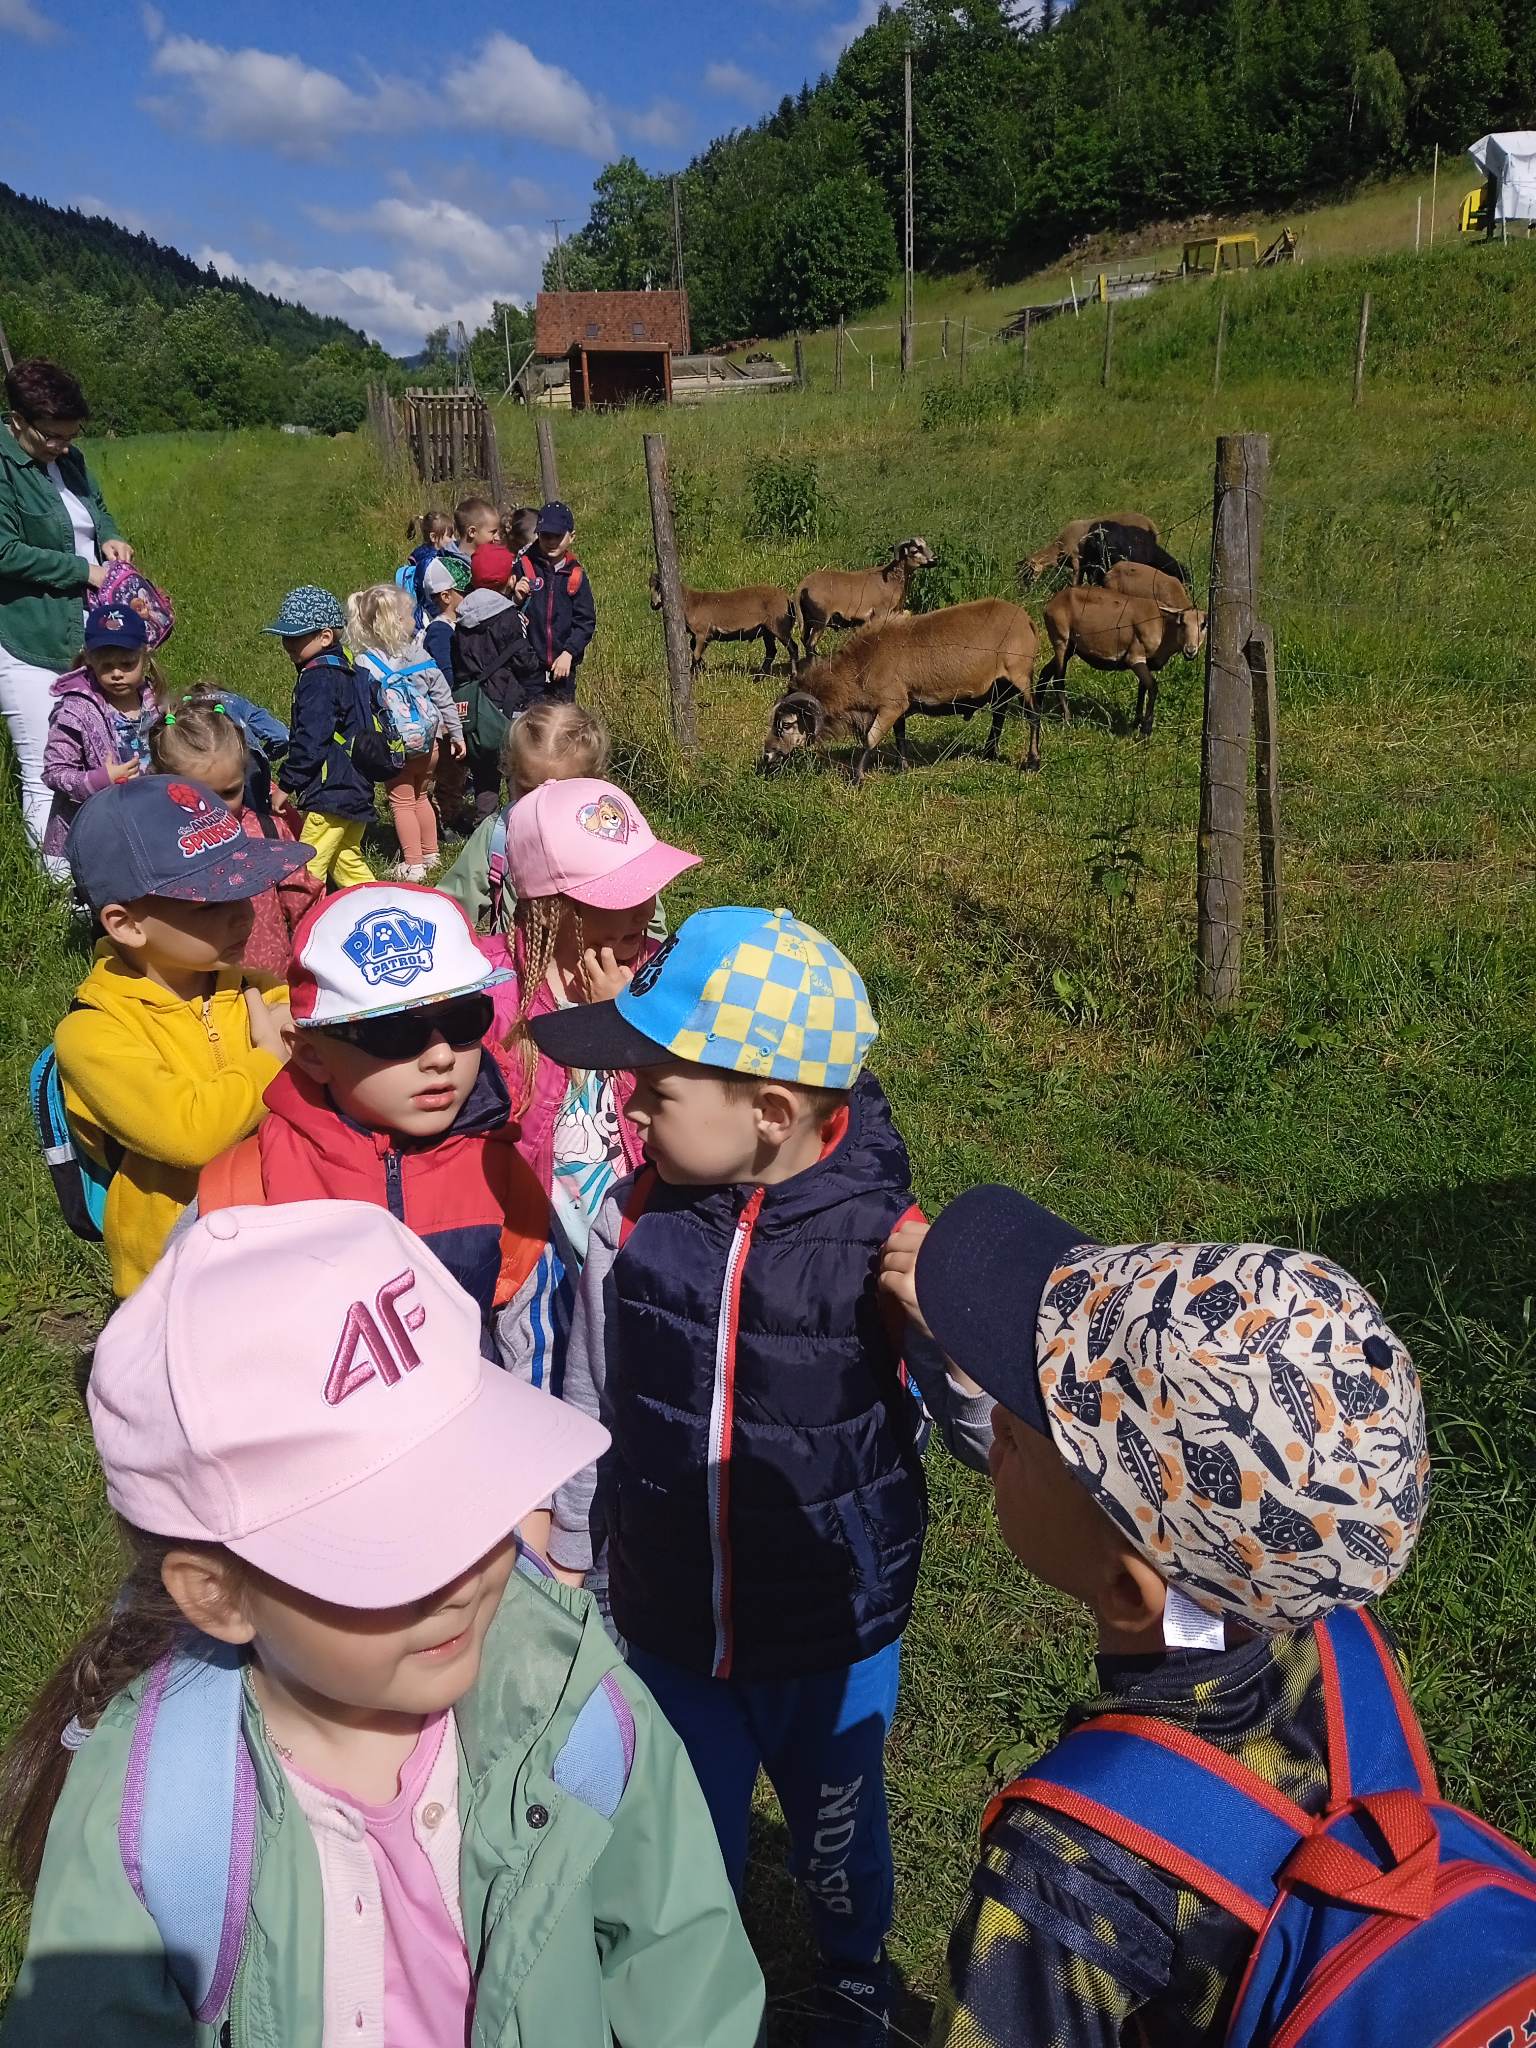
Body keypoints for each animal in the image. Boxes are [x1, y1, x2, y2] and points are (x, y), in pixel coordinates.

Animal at [651, 573, 798, 684]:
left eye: (659, 587)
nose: (652, 605)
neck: (691, 602)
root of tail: (788, 600)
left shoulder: (702, 632)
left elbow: (695, 655)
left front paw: (693, 676)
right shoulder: (701, 635)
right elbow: (694, 650)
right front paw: (703, 669)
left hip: (779, 626)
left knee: (793, 647)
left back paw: (793, 675)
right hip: (767, 631)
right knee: (771, 651)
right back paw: (757, 679)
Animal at [761, 598, 1048, 786]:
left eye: (786, 724)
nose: (767, 755)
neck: (859, 667)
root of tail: (1026, 619)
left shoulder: (891, 704)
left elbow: (870, 739)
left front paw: (857, 779)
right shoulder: (900, 704)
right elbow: (900, 737)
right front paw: (903, 768)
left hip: (1020, 674)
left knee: (1033, 715)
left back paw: (1032, 762)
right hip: (1000, 685)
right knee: (999, 714)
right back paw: (989, 752)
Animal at [794, 536, 937, 655]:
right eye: (915, 550)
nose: (935, 560)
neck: (892, 580)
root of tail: (802, 586)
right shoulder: (880, 613)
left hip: (807, 619)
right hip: (820, 618)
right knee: (810, 645)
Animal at [1024, 509, 1163, 585]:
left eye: (1029, 570)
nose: (1025, 589)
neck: (1058, 547)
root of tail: (1151, 526)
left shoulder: (1076, 559)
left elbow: (1075, 581)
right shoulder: (1085, 564)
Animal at [1040, 585, 1212, 737]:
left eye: (1203, 625)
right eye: (1182, 623)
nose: (1190, 650)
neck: (1163, 628)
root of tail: (1051, 604)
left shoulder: (1147, 663)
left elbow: (1143, 688)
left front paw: (1136, 723)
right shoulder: (1135, 657)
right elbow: (1153, 687)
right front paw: (1145, 730)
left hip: (1071, 647)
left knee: (1045, 673)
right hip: (1060, 640)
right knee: (1058, 679)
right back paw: (1067, 720)